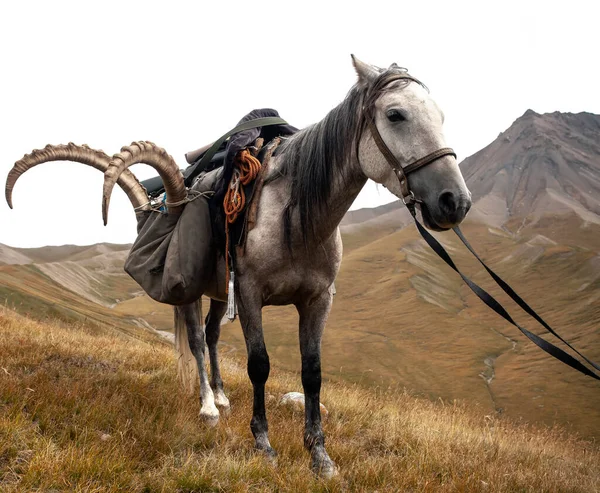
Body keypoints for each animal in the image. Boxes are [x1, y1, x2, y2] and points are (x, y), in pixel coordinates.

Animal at [7, 54, 472, 476]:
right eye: (395, 114)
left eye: (441, 115)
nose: (454, 201)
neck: (296, 217)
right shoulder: (249, 294)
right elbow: (259, 364)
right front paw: (263, 443)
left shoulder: (319, 299)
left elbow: (312, 372)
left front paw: (320, 455)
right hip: (193, 289)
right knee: (197, 339)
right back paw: (208, 406)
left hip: (219, 291)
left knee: (212, 336)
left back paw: (221, 394)